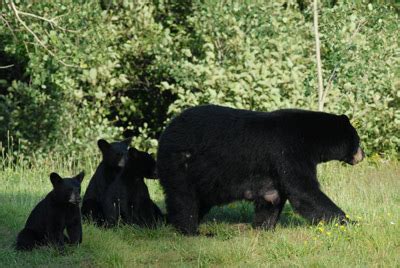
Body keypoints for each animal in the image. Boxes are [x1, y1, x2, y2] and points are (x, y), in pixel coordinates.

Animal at [158, 104, 364, 234]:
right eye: (358, 140)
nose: (363, 154)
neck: (311, 138)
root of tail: (167, 130)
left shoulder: (272, 169)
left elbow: (272, 198)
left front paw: (263, 227)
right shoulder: (288, 150)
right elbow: (304, 191)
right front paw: (351, 222)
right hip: (181, 163)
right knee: (184, 199)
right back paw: (189, 230)